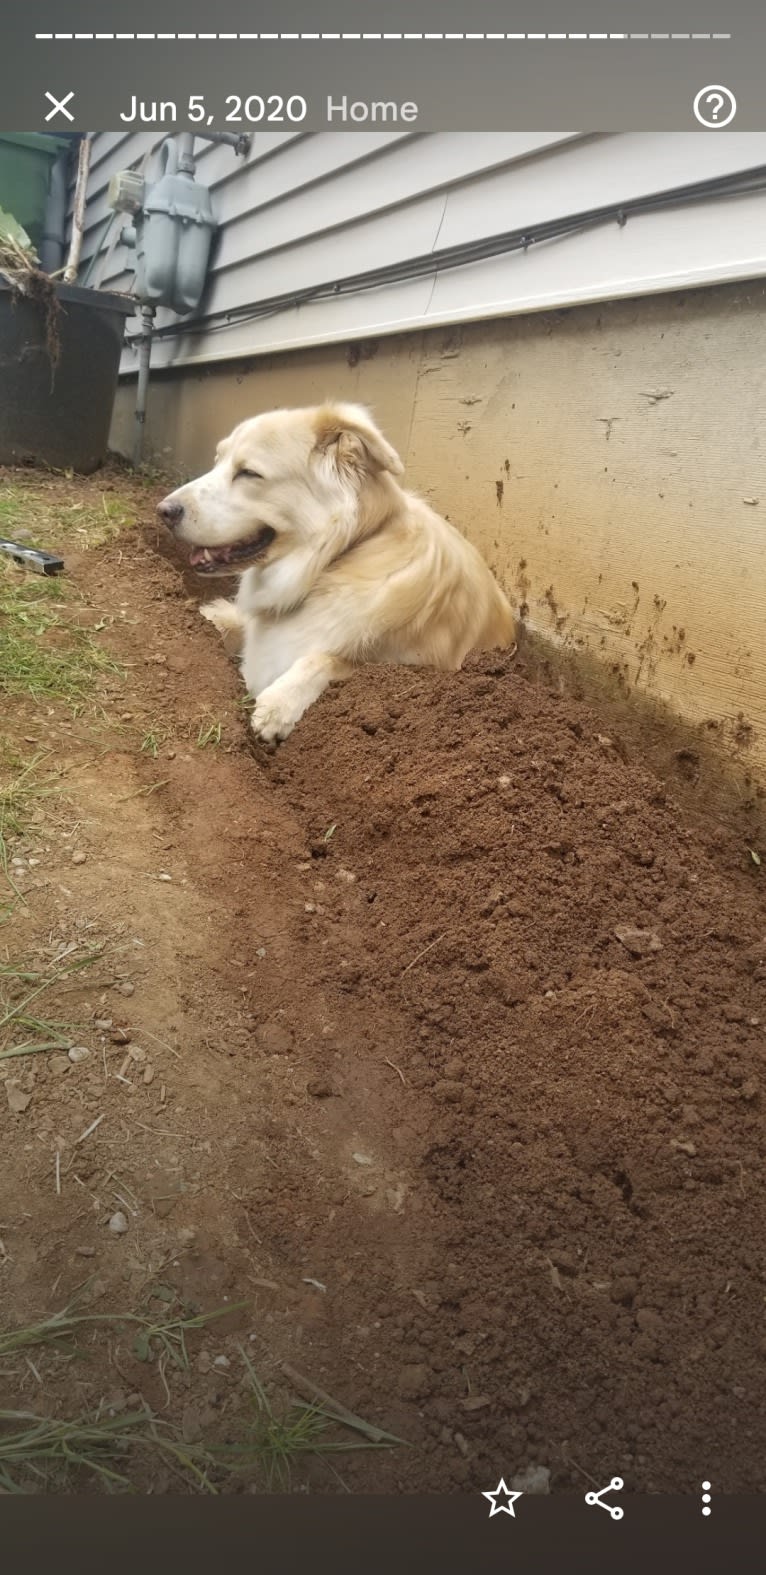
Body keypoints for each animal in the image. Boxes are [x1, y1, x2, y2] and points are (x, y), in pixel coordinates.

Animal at [156, 406, 513, 749]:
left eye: (248, 473)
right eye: (218, 461)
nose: (163, 511)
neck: (336, 559)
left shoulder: (405, 665)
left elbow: (325, 659)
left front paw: (276, 706)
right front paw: (202, 619)